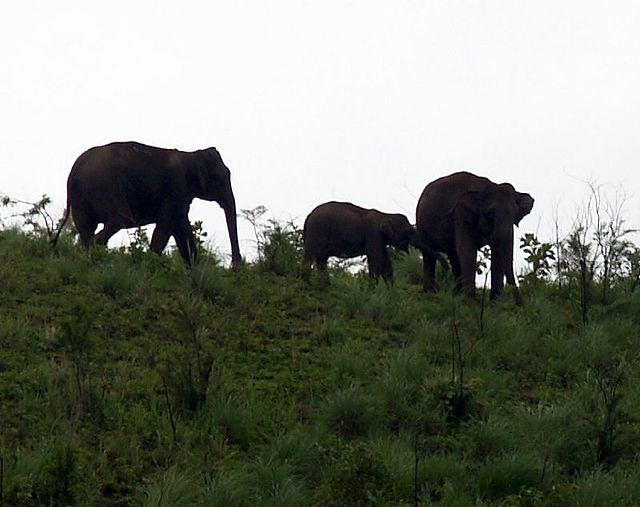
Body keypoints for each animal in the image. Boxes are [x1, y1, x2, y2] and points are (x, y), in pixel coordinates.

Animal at [51, 140, 241, 266]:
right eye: (221, 178)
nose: (236, 266)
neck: (190, 154)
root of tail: (74, 171)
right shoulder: (175, 189)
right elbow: (165, 228)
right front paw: (150, 265)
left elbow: (182, 230)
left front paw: (193, 269)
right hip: (105, 187)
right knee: (117, 221)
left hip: (82, 197)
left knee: (86, 229)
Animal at [416, 173, 536, 304]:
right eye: (489, 214)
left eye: (515, 214)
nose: (520, 304)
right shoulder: (461, 215)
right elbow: (467, 248)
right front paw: (470, 302)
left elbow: (497, 251)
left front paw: (494, 304)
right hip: (421, 223)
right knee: (429, 254)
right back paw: (431, 293)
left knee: (454, 255)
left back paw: (455, 294)